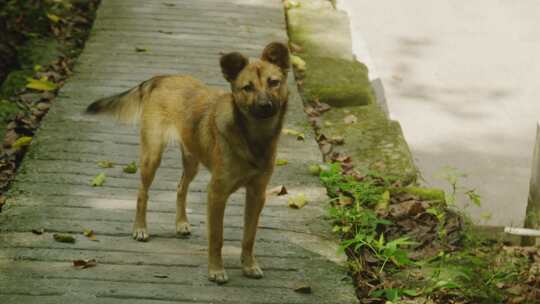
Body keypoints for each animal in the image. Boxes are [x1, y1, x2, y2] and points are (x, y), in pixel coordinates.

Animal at [85, 41, 292, 284]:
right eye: (247, 88)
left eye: (274, 82)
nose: (265, 105)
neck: (253, 138)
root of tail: (162, 78)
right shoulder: (217, 193)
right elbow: (217, 237)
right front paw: (216, 270)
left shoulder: (257, 194)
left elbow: (249, 236)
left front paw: (249, 266)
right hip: (152, 156)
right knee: (142, 193)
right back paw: (140, 228)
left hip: (192, 160)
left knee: (180, 187)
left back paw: (181, 223)